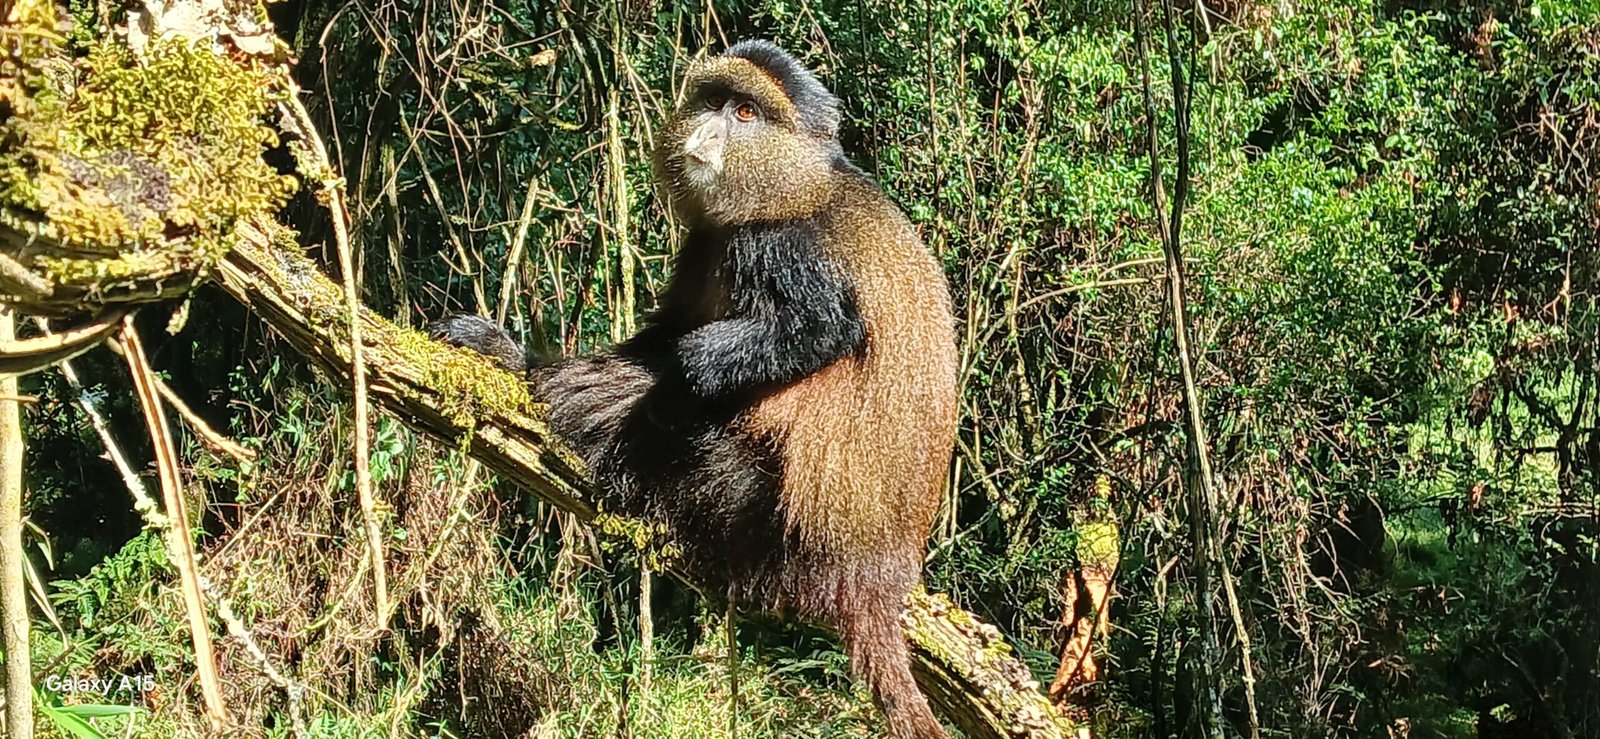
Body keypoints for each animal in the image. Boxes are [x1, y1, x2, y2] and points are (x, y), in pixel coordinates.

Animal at [432, 40, 959, 739]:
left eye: (744, 112)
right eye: (711, 103)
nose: (705, 136)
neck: (798, 179)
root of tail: (875, 576)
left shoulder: (776, 244)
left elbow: (819, 331)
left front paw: (686, 366)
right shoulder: (704, 241)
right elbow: (660, 338)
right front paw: (511, 351)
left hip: (756, 508)